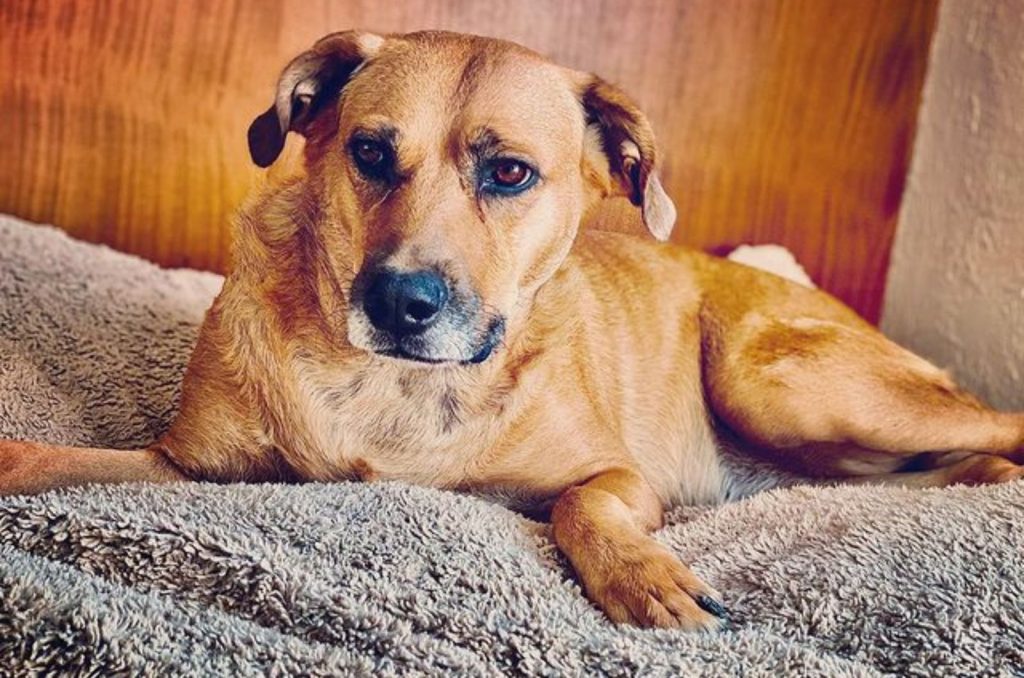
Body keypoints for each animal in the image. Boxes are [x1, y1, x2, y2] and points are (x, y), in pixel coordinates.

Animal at [2, 29, 1024, 630]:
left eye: (510, 175)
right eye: (369, 152)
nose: (400, 303)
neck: (395, 389)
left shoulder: (617, 476)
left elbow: (581, 506)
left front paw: (644, 576)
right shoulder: (183, 471)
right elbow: (41, 462)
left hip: (773, 380)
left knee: (992, 422)